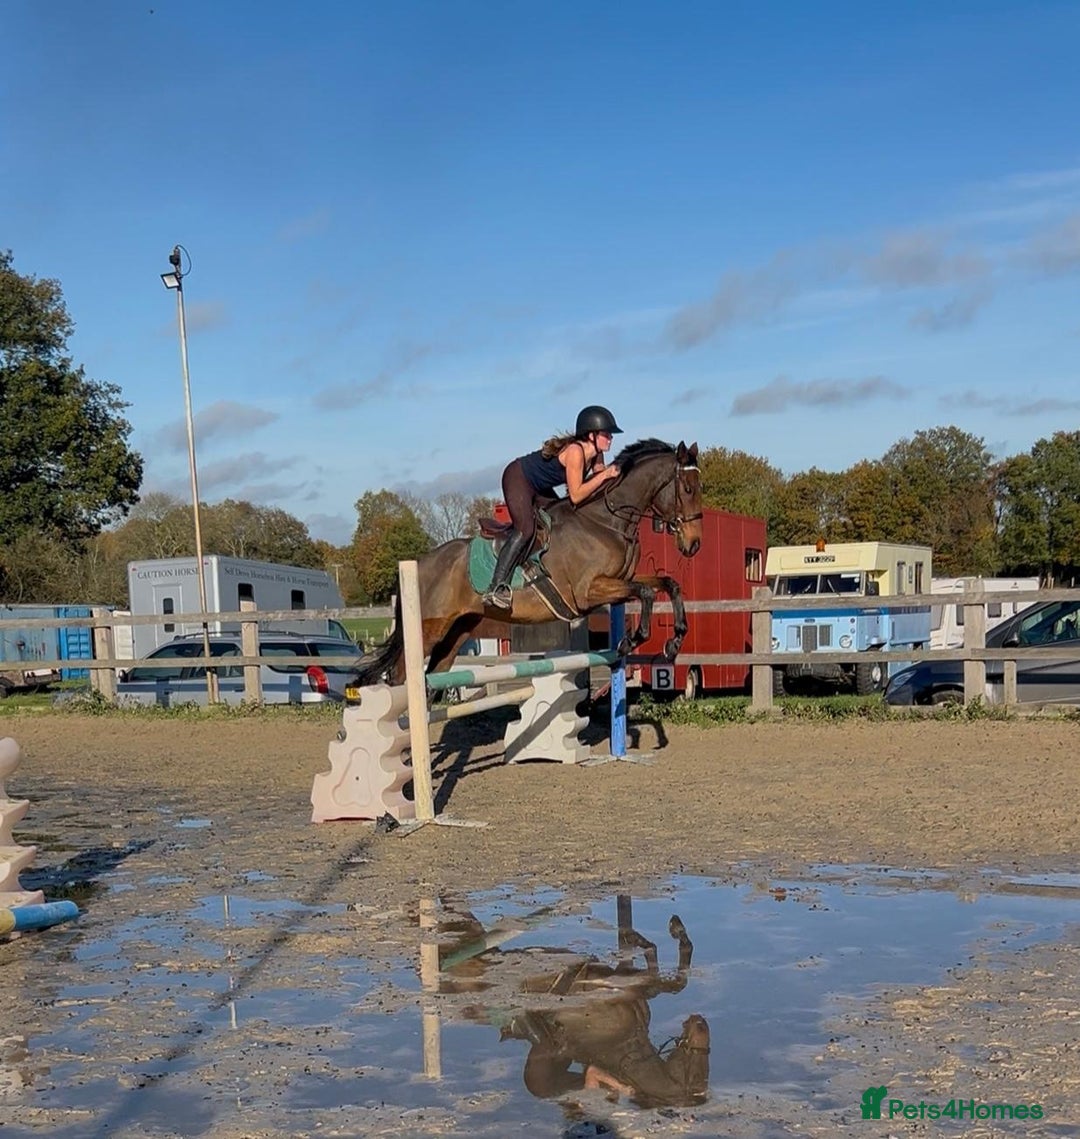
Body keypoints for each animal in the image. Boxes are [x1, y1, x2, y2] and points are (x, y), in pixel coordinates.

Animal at [354, 438, 704, 686]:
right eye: (688, 489)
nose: (694, 544)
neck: (606, 521)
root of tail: (418, 563)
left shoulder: (621, 581)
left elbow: (668, 584)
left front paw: (675, 641)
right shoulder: (589, 591)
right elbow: (646, 593)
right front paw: (633, 639)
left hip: (458, 631)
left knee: (433, 672)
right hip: (428, 630)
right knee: (400, 676)